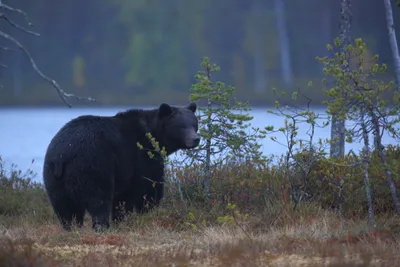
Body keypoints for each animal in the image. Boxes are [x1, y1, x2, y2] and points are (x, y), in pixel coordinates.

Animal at [42, 102, 200, 232]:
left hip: (54, 179)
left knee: (65, 209)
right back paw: (102, 227)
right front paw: (144, 213)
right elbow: (147, 187)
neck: (154, 136)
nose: (196, 139)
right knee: (99, 200)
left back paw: (72, 228)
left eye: (194, 124)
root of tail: (62, 155)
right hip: (92, 167)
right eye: (181, 126)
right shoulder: (140, 157)